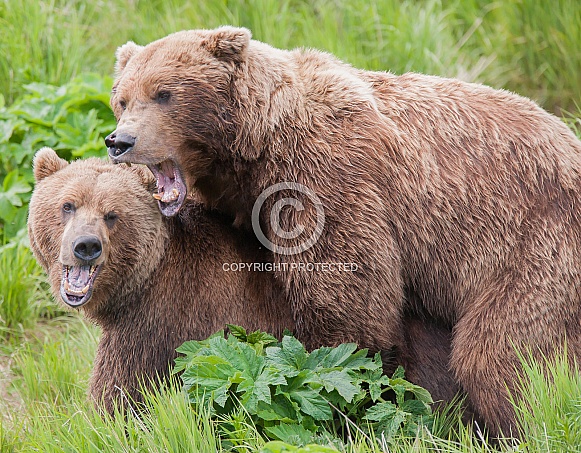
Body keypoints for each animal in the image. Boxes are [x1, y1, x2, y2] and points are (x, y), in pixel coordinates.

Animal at [28, 147, 462, 414]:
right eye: (67, 205)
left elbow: (120, 395)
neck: (141, 283)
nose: (86, 246)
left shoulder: (160, 321)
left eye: (112, 214)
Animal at [102, 27, 580, 434]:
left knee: (503, 352)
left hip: (534, 243)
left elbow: (347, 293)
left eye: (164, 93)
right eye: (122, 98)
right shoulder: (243, 204)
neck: (254, 146)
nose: (119, 142)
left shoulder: (324, 176)